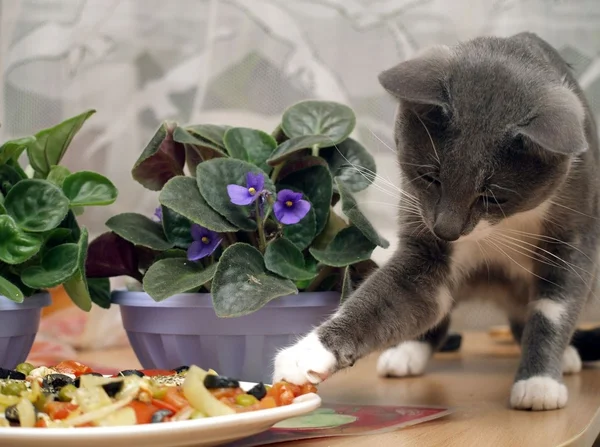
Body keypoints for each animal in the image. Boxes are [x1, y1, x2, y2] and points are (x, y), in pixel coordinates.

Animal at [274, 33, 600, 412]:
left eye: (494, 197)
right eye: (429, 177)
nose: (446, 230)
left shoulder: (575, 235)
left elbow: (555, 309)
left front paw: (539, 383)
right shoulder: (425, 241)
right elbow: (392, 296)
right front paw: (305, 355)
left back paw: (566, 358)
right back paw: (405, 354)